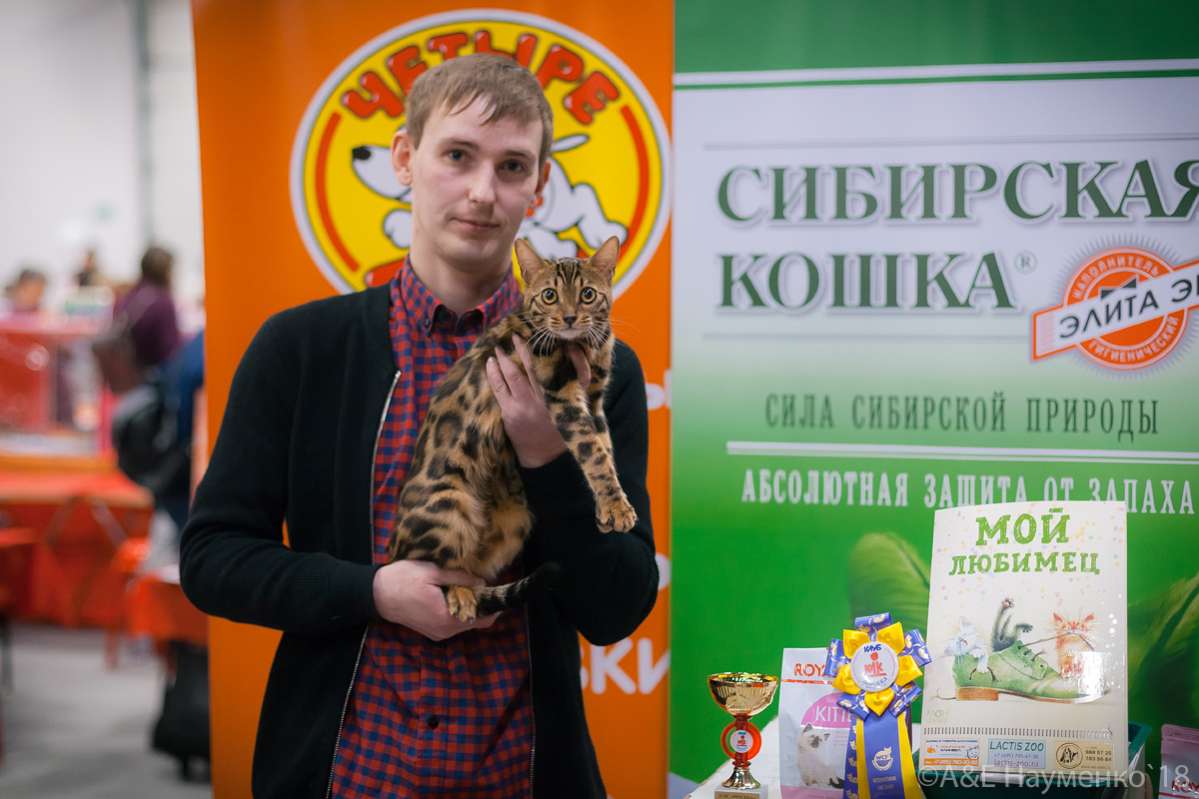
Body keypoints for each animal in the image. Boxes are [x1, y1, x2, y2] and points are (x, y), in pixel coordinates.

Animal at [385, 235, 636, 622]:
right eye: (549, 295)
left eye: (587, 294)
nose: (568, 317)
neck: (586, 346)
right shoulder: (560, 392)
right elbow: (592, 451)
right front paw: (616, 506)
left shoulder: (595, 401)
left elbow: (605, 450)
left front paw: (608, 507)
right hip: (449, 506)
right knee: (430, 567)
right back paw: (460, 595)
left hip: (515, 520)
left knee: (473, 569)